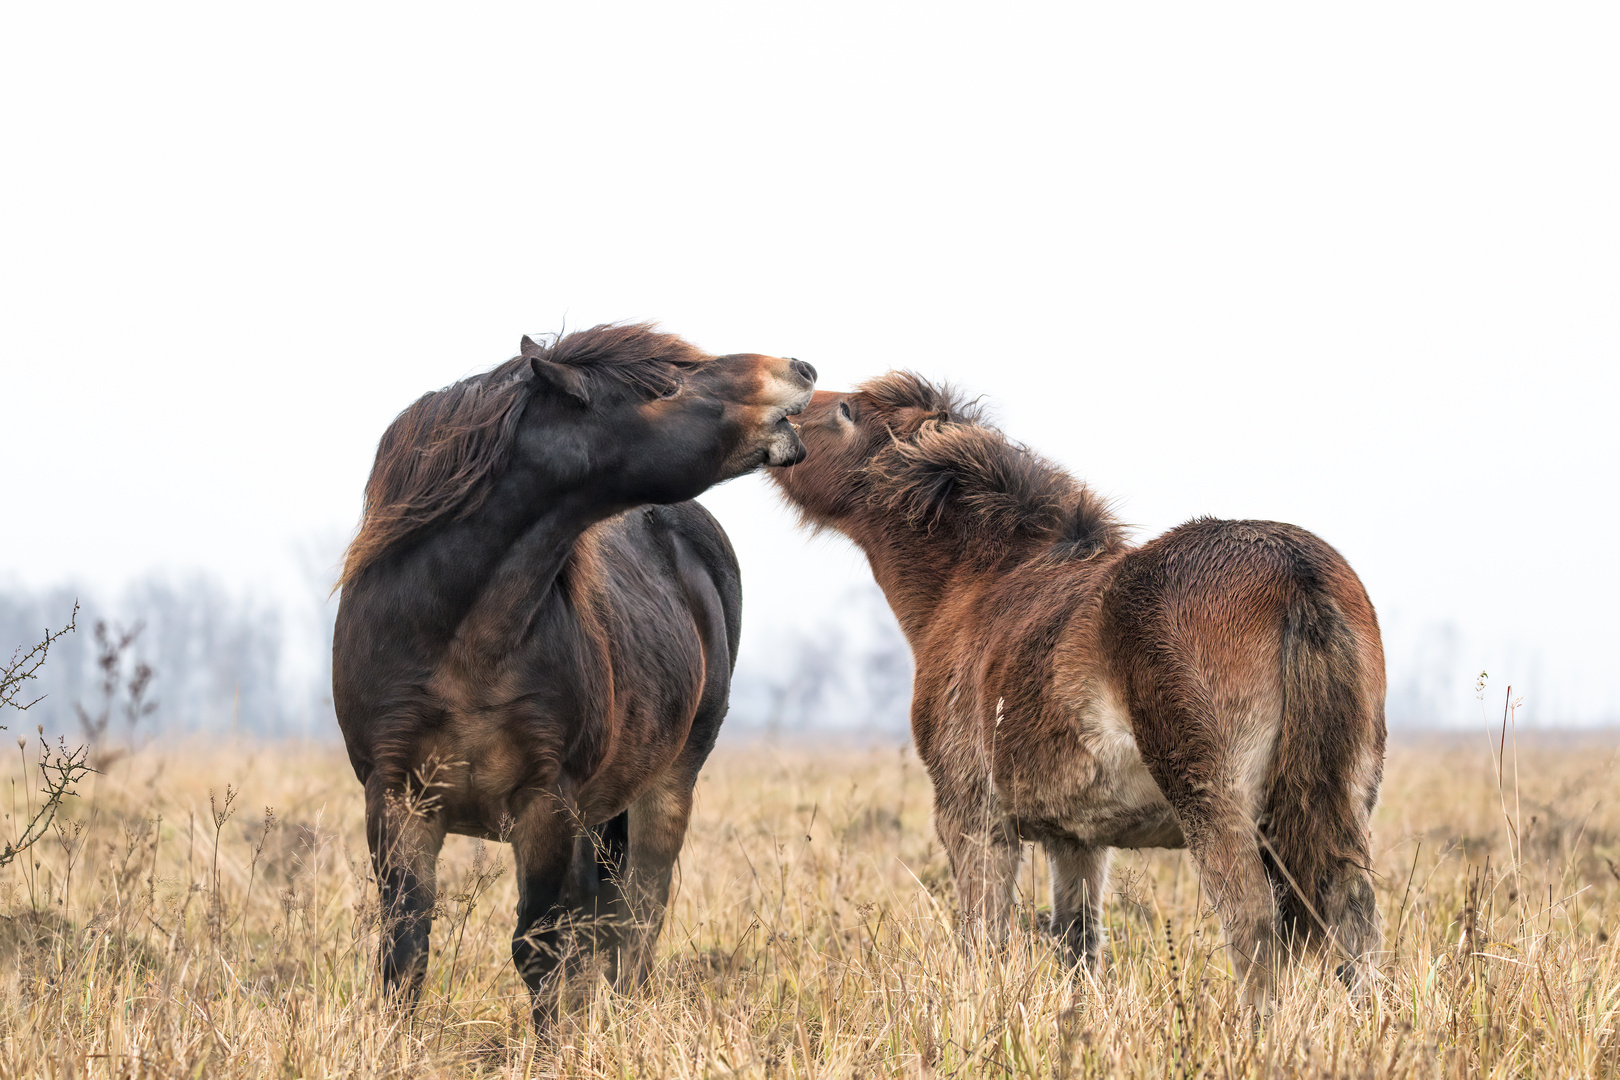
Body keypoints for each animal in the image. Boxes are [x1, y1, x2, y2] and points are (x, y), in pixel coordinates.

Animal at [330, 325, 816, 1016]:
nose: (800, 368)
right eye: (666, 385)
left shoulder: (547, 805)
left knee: (636, 923)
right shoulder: (397, 798)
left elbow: (540, 949)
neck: (462, 638)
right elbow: (405, 953)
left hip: (666, 787)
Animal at [764, 375, 1386, 1010]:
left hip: (1219, 810)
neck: (977, 585)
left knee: (1255, 926)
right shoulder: (1077, 840)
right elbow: (1078, 944)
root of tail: (1294, 570)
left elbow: (984, 940)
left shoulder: (974, 820)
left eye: (840, 410)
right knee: (1353, 922)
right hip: (1345, 804)